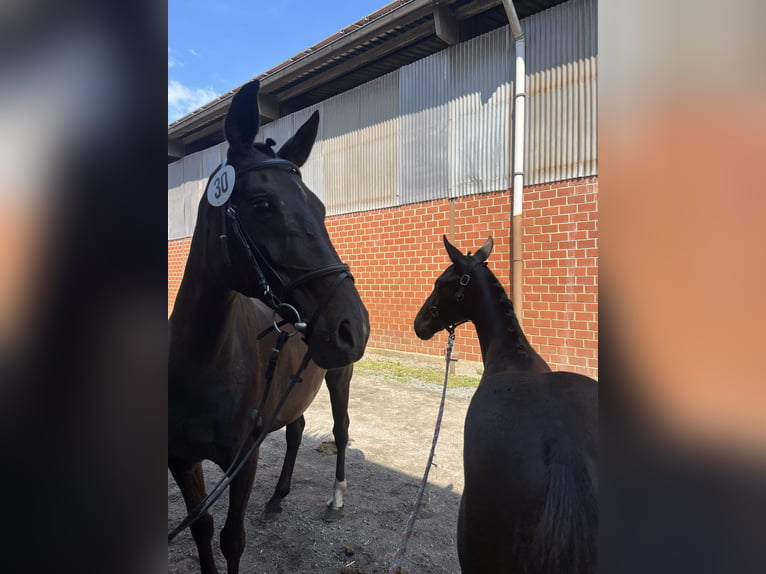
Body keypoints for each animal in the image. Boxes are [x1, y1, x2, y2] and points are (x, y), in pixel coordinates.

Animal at [169, 79, 372, 572]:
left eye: (320, 208)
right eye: (263, 204)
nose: (353, 326)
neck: (201, 364)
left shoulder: (244, 460)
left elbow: (231, 540)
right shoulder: (181, 461)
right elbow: (202, 530)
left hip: (339, 375)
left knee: (340, 430)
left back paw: (336, 502)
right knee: (297, 429)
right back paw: (278, 498)